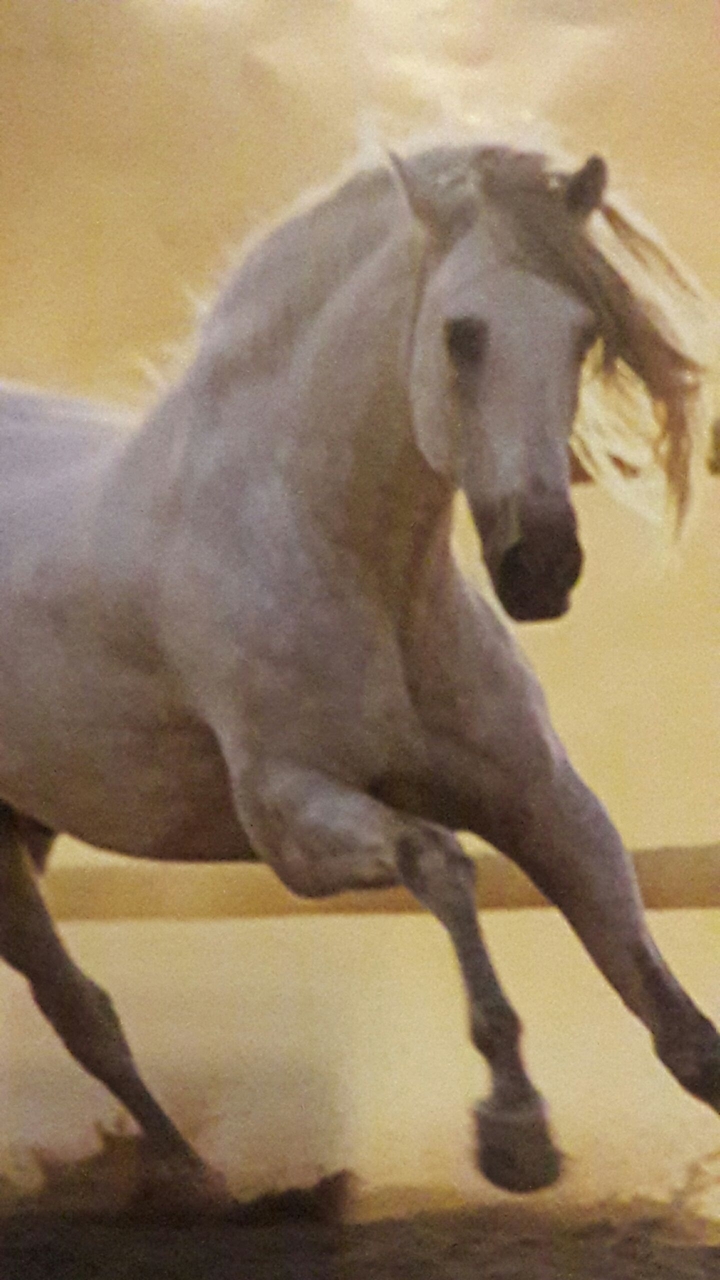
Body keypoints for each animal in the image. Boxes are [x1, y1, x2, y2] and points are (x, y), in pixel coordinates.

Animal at [0, 139, 717, 1204]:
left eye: (586, 331)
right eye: (463, 333)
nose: (542, 567)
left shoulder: (545, 800)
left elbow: (681, 1031)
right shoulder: (289, 816)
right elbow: (444, 865)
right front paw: (514, 1130)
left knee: (80, 1010)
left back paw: (193, 1179)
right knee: (81, 1011)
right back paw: (195, 1186)